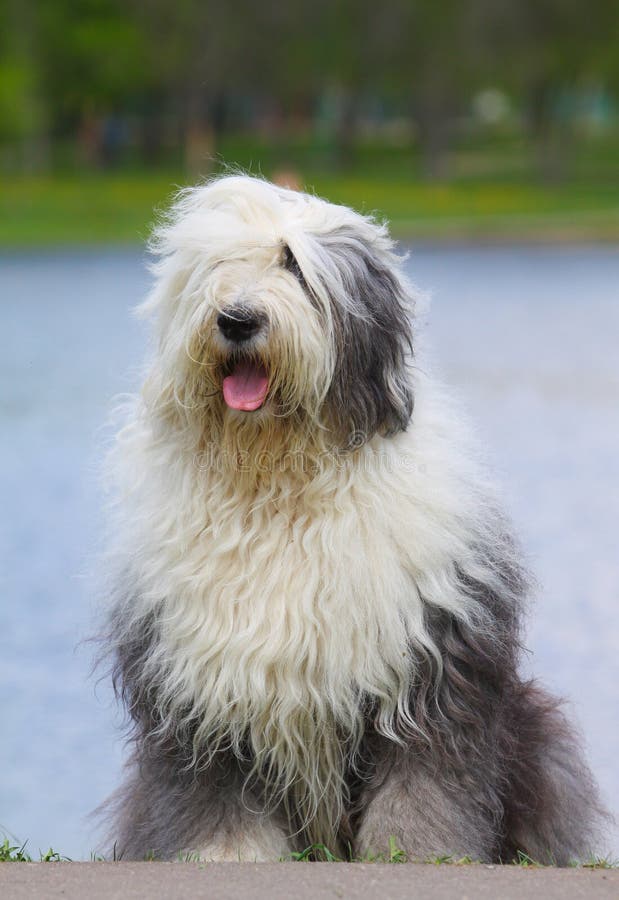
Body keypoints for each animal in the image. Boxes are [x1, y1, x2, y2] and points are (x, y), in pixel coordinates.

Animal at [100, 174, 604, 864]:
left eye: (295, 266)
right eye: (219, 266)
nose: (236, 318)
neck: (280, 485)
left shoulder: (429, 666)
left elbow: (425, 787)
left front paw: (418, 855)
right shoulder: (198, 679)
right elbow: (214, 794)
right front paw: (226, 856)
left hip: (532, 733)